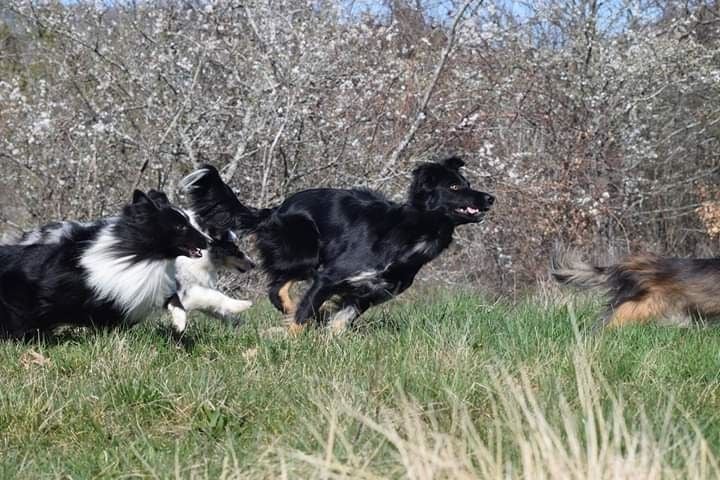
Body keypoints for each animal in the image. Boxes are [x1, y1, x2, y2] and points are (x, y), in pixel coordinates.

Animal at [180, 158, 496, 334]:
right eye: (454, 187)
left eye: (468, 183)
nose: (490, 197)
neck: (411, 231)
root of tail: (276, 208)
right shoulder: (331, 276)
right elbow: (305, 313)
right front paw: (291, 335)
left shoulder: (370, 292)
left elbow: (341, 321)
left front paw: (327, 334)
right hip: (304, 253)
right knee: (277, 287)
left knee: (280, 288)